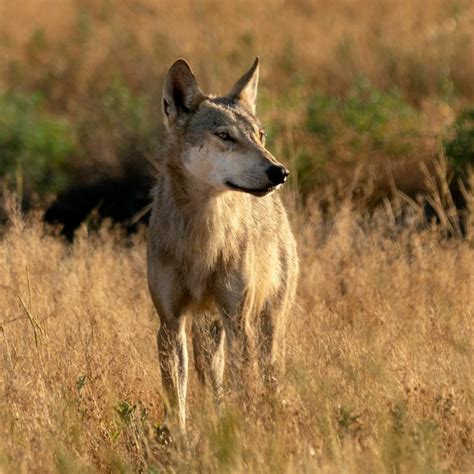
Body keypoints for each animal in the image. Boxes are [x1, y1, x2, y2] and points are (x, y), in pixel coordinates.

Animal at [146, 57, 298, 432]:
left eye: (260, 136)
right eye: (225, 136)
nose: (279, 172)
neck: (203, 241)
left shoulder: (237, 320)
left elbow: (244, 388)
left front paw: (244, 433)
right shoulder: (170, 322)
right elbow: (177, 401)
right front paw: (179, 440)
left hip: (265, 328)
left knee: (268, 379)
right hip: (206, 332)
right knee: (213, 384)